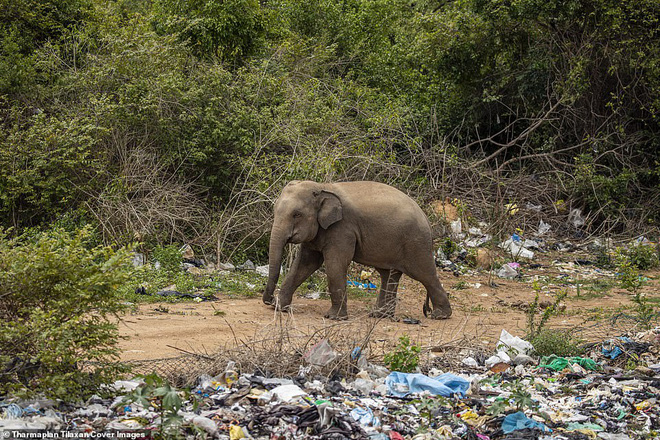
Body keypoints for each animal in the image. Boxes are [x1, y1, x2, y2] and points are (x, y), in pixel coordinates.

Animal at [260, 180, 452, 320]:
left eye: (297, 214)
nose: (269, 300)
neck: (323, 187)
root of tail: (426, 217)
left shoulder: (342, 229)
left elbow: (335, 265)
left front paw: (333, 318)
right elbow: (305, 264)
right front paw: (280, 307)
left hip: (416, 243)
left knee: (425, 274)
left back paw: (440, 316)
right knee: (389, 275)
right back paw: (379, 315)